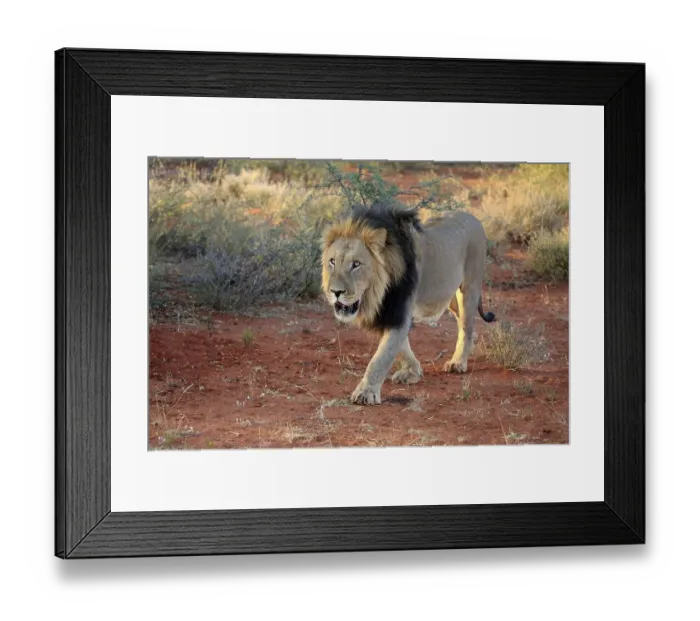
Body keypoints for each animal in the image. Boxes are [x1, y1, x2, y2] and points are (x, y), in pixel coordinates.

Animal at [321, 201, 496, 405]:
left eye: (356, 264)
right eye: (332, 262)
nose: (335, 292)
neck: (380, 292)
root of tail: (474, 218)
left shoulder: (400, 310)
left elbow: (381, 357)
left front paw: (366, 393)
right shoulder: (390, 313)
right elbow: (400, 347)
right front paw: (413, 372)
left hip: (469, 288)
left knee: (466, 327)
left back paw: (458, 362)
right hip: (451, 299)